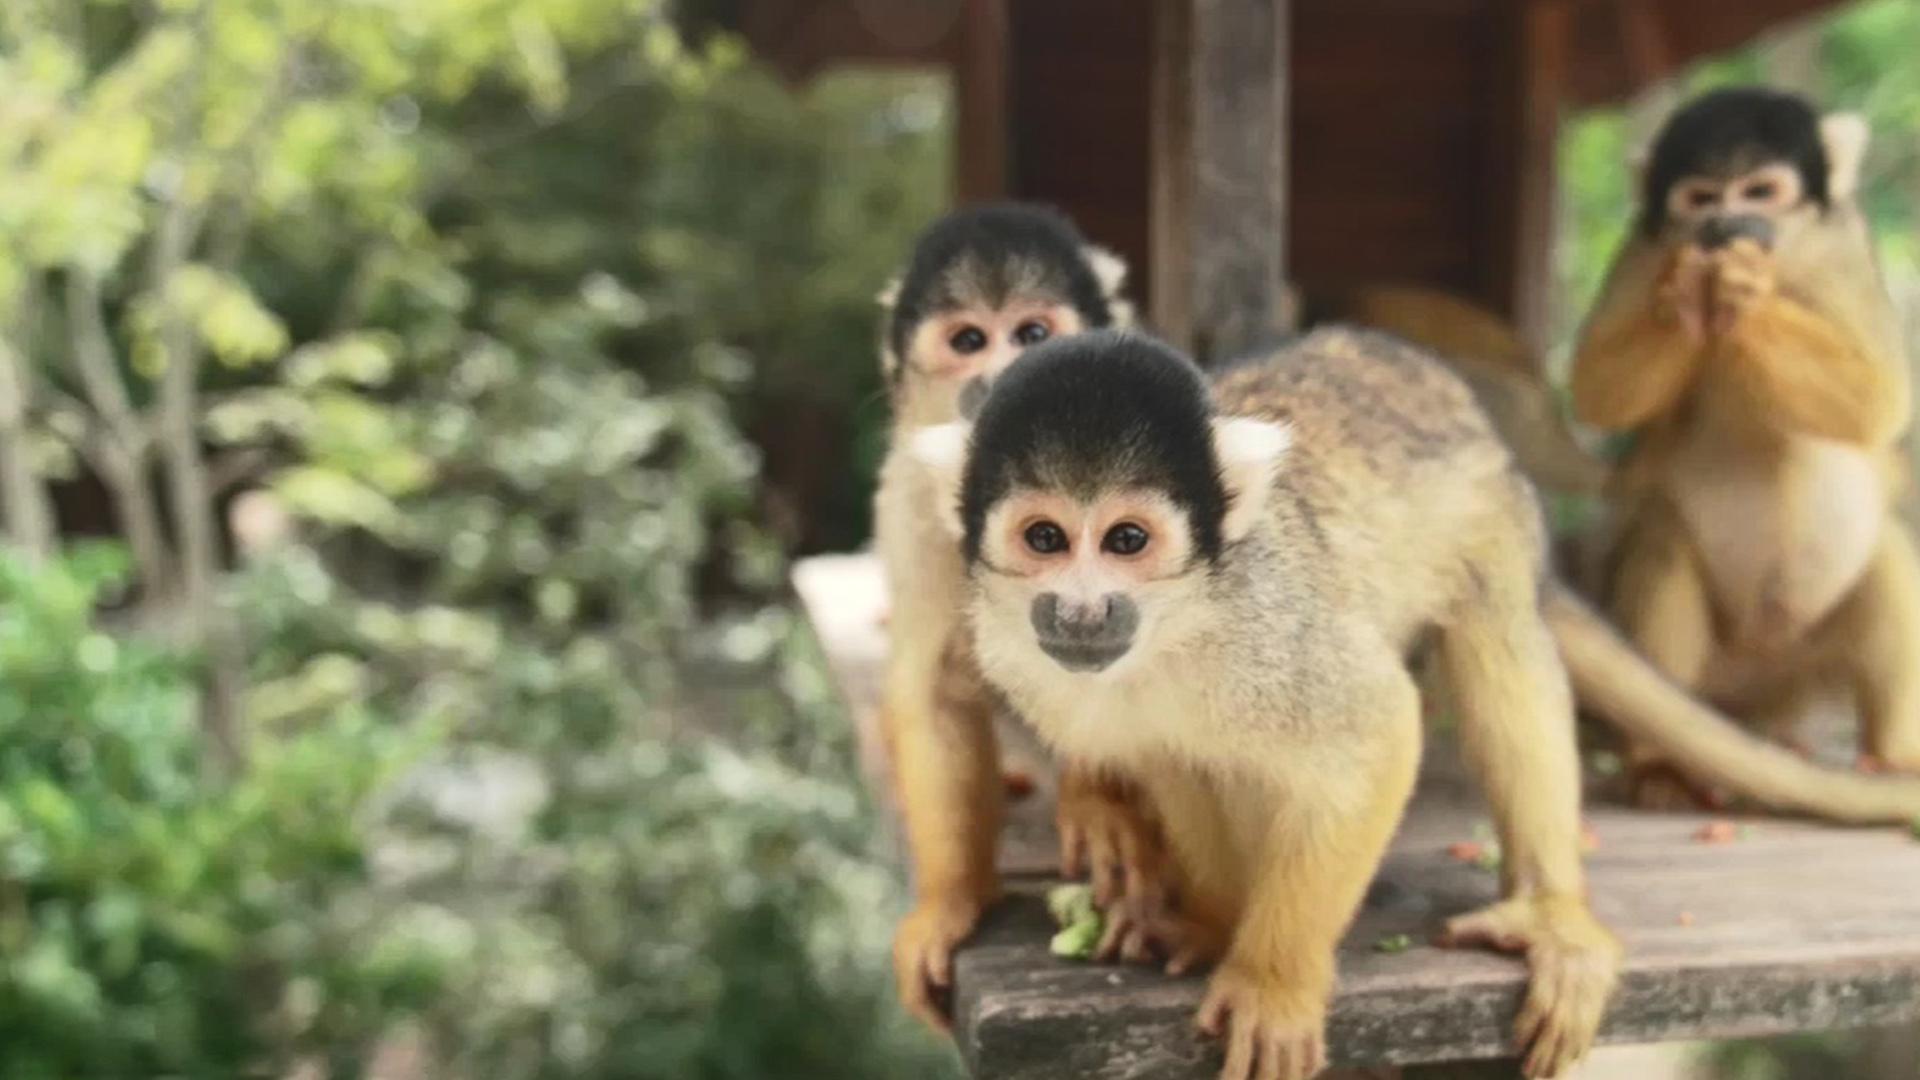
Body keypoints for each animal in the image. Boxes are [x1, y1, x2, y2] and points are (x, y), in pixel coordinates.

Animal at [871, 203, 1168, 1032]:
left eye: (1032, 333)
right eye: (970, 341)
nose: (1003, 375)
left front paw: (1096, 802)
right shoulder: (912, 492)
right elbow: (937, 685)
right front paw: (949, 902)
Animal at [1570, 86, 1920, 809]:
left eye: (1759, 191)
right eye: (1702, 198)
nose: (1727, 224)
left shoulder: (1843, 242)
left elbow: (1882, 399)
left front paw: (1746, 291)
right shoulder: (1642, 248)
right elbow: (1595, 390)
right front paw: (1685, 293)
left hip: (1802, 673)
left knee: (1889, 551)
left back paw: (1895, 756)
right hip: (1713, 678)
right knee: (1660, 544)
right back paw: (1663, 768)